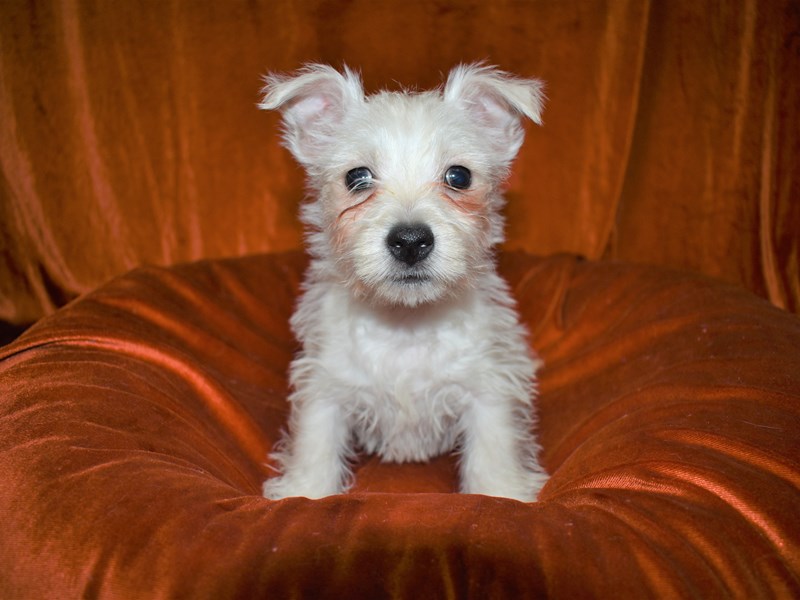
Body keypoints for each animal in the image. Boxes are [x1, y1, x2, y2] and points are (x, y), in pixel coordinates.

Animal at [260, 64, 548, 502]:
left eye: (458, 176)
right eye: (357, 177)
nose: (410, 241)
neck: (406, 324)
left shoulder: (488, 387)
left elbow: (493, 450)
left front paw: (504, 493)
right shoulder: (326, 386)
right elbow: (315, 446)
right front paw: (303, 492)